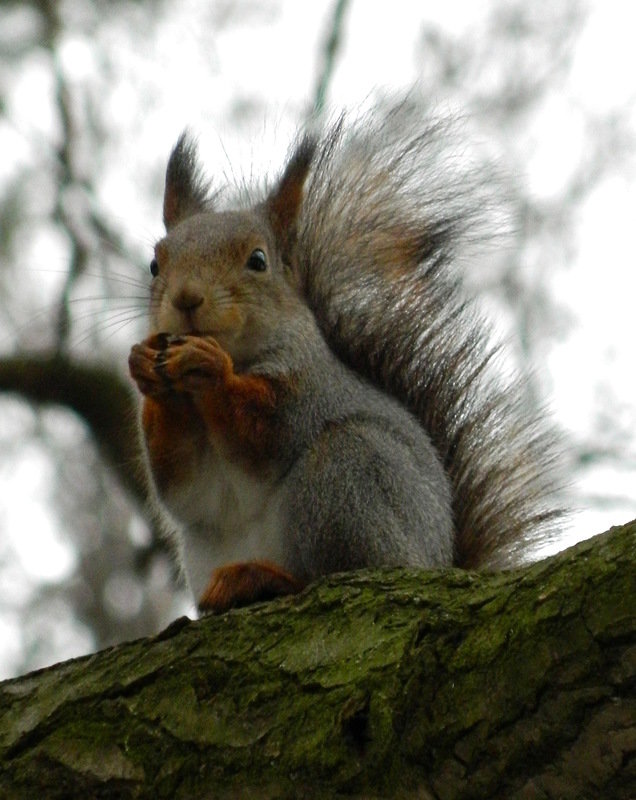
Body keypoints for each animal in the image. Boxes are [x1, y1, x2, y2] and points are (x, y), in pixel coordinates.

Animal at [128, 108, 560, 612]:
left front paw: (209, 368)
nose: (186, 299)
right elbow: (180, 484)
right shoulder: (189, 478)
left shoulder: (306, 390)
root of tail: (438, 564)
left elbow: (263, 430)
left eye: (258, 260)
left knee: (333, 569)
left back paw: (265, 578)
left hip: (347, 477)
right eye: (155, 264)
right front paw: (144, 368)